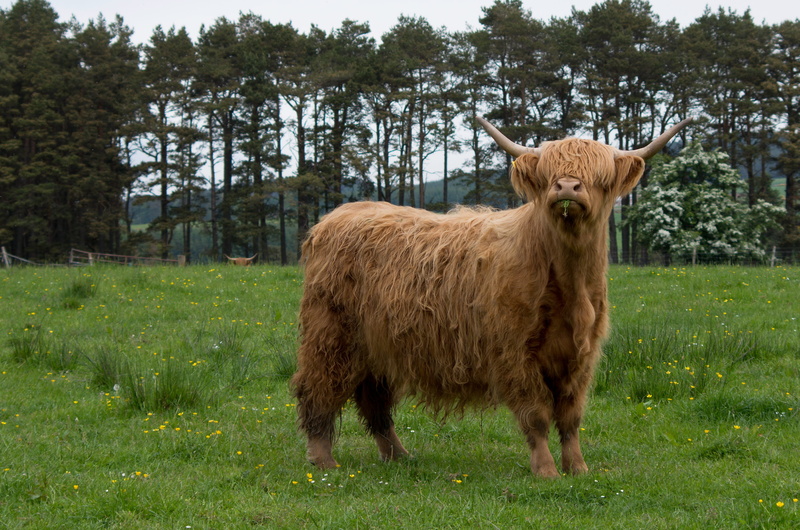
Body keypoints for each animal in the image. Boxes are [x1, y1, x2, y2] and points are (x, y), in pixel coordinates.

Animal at [291, 117, 693, 477]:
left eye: (600, 175)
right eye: (548, 173)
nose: (566, 186)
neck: (570, 285)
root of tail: (336, 216)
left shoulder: (581, 355)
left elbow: (570, 416)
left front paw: (578, 468)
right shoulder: (514, 351)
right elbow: (537, 415)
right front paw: (546, 471)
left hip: (378, 345)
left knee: (373, 398)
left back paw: (398, 455)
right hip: (332, 334)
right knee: (318, 388)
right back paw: (323, 459)